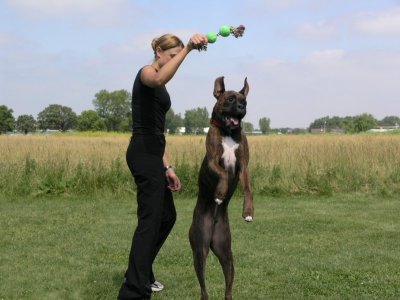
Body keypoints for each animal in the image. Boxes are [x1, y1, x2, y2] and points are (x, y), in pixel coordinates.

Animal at [190, 77, 253, 300]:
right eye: (230, 99)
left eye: (244, 100)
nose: (242, 107)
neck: (228, 133)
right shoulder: (212, 161)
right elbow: (224, 174)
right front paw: (219, 194)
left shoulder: (243, 167)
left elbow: (248, 189)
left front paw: (248, 212)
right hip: (199, 252)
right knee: (203, 288)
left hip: (226, 254)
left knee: (228, 286)